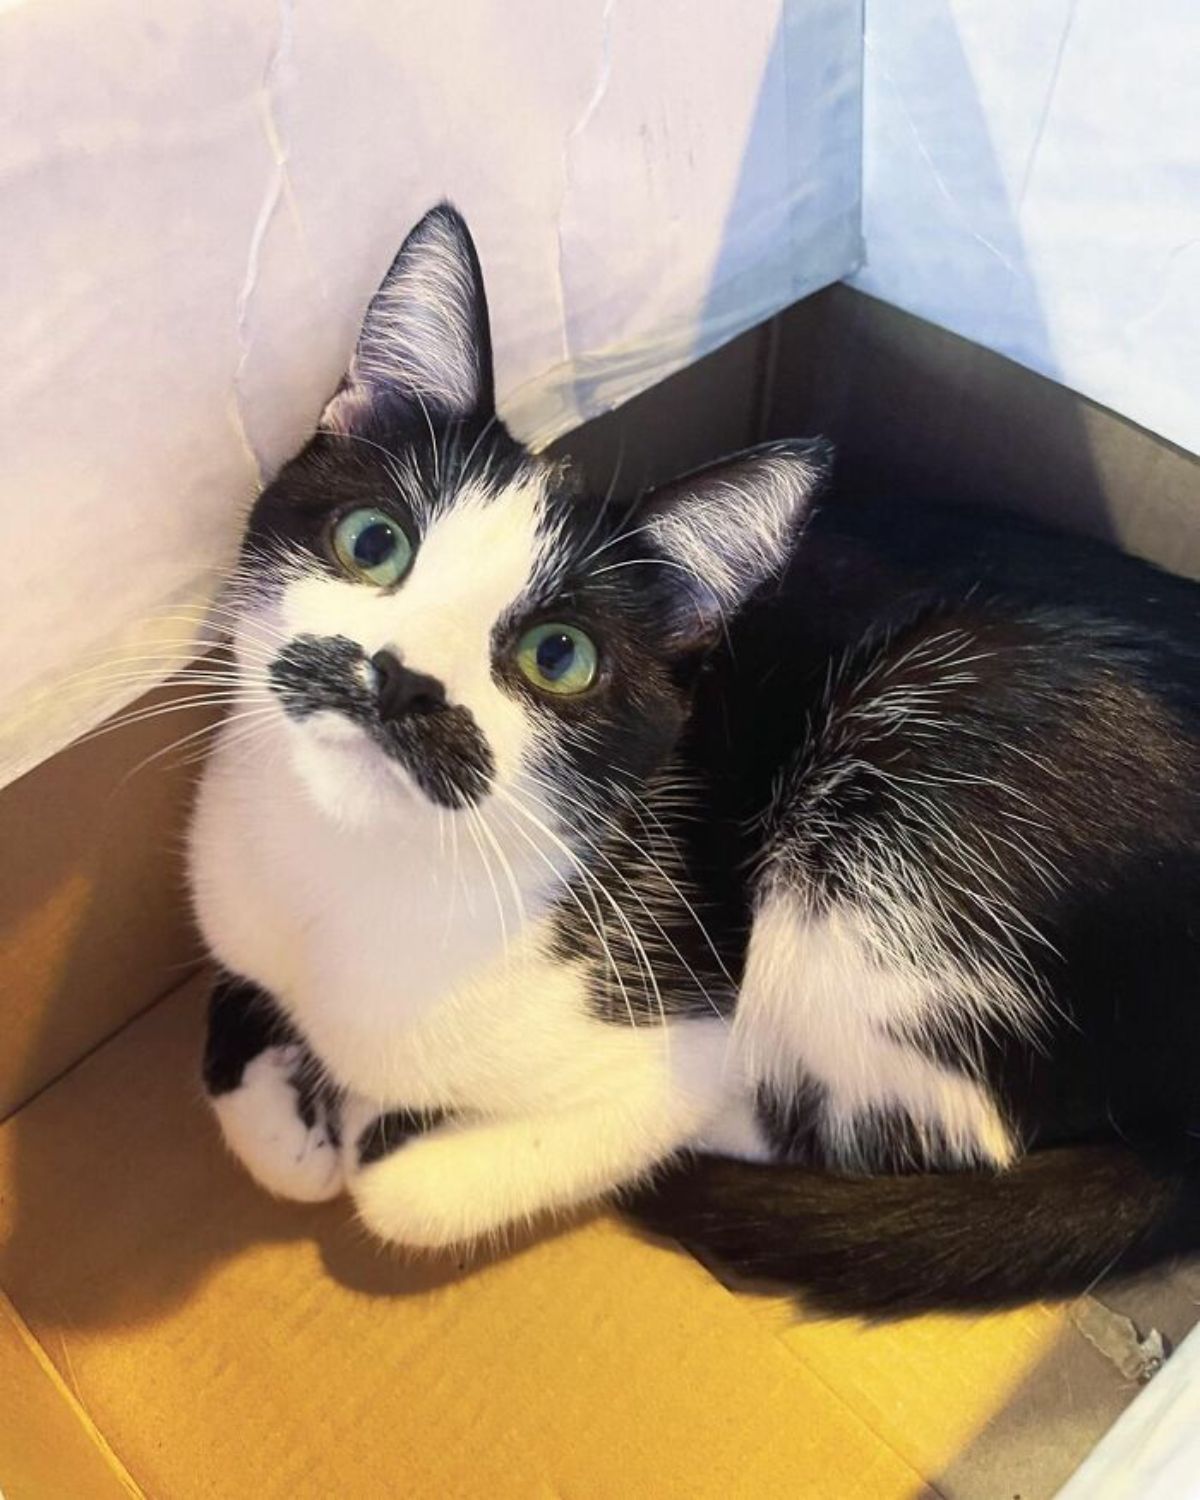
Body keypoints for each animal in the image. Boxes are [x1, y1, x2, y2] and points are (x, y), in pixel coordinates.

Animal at [192, 202, 1200, 1314]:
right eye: (372, 542)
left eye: (559, 657)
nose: (405, 679)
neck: (345, 873)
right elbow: (230, 1034)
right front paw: (287, 1113)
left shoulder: (683, 1023)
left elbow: (416, 1190)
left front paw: (375, 1125)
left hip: (910, 796)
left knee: (940, 1131)